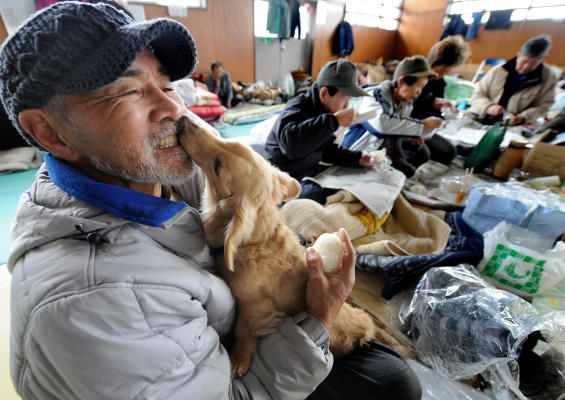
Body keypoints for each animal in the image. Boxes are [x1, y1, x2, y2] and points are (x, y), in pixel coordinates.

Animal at [178, 115, 376, 376]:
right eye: (227, 140)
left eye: (218, 165)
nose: (183, 119)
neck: (255, 241)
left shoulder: (254, 306)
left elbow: (244, 330)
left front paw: (239, 358)